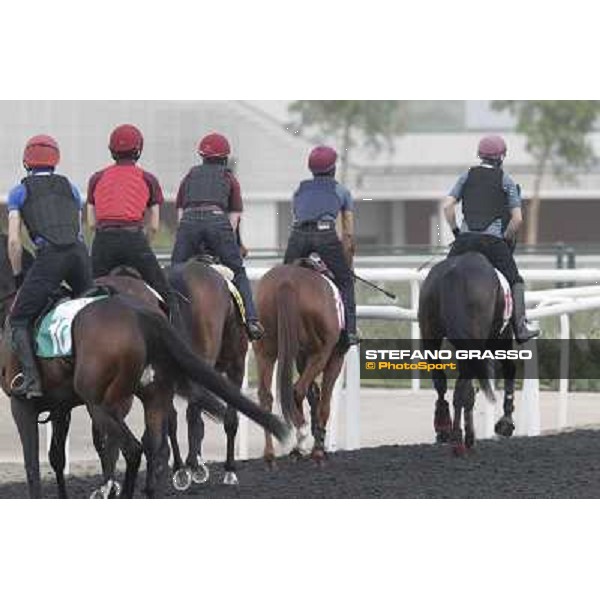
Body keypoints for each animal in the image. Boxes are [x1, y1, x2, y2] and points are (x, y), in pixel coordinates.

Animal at [166, 258, 248, 488]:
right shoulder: (236, 367)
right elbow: (230, 419)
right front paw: (229, 470)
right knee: (190, 413)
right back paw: (189, 465)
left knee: (174, 417)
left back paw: (181, 469)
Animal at [253, 262, 346, 464]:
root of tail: (286, 282)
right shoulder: (335, 357)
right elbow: (324, 402)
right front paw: (318, 449)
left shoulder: (301, 357)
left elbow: (313, 394)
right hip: (321, 352)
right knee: (297, 388)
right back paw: (302, 436)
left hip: (265, 350)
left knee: (266, 395)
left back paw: (271, 453)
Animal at [418, 252, 516, 454]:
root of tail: (455, 274)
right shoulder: (500, 339)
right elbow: (509, 369)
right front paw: (505, 423)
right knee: (463, 389)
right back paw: (461, 439)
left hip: (430, 332)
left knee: (441, 380)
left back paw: (444, 428)